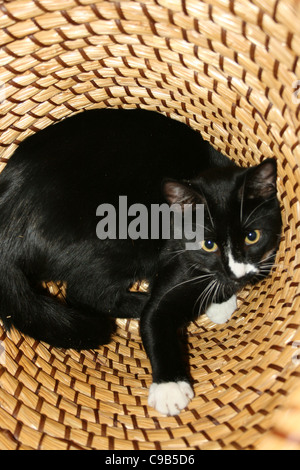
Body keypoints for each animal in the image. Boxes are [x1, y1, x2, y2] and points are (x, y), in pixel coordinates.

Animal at [0, 109, 282, 414]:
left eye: (253, 236)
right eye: (208, 244)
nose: (237, 275)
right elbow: (159, 310)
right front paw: (170, 387)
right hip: (126, 240)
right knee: (86, 294)